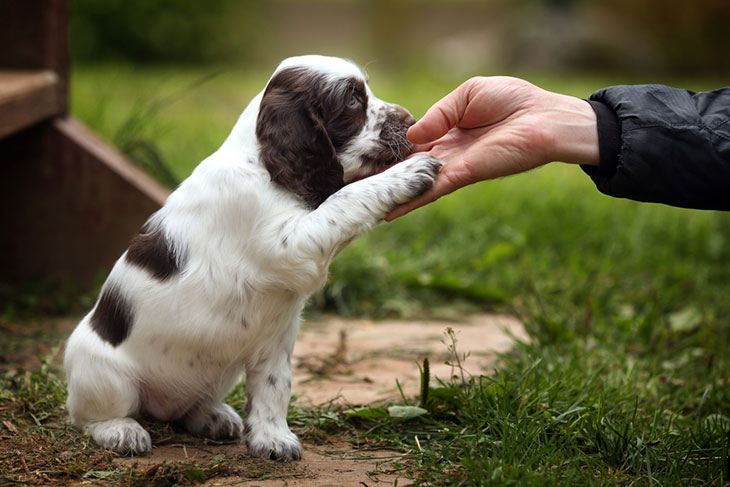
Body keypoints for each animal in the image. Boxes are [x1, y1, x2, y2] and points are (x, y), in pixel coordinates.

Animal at [64, 55, 438, 464]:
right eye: (353, 100)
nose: (412, 119)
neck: (262, 166)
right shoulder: (291, 245)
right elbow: (345, 200)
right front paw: (407, 174)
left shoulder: (277, 335)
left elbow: (274, 387)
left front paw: (272, 438)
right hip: (103, 374)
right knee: (89, 415)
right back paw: (121, 430)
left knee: (188, 408)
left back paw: (213, 417)